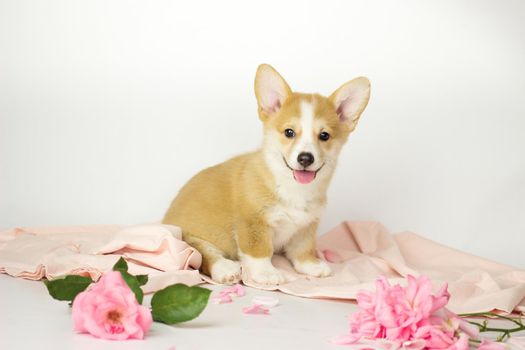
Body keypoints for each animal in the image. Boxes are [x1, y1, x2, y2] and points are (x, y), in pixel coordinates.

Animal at [162, 65, 370, 284]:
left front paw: (310, 265)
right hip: (186, 237)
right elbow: (259, 251)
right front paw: (266, 273)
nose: (305, 158)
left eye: (324, 136)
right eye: (289, 132)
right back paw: (226, 268)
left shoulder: (306, 226)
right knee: (203, 254)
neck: (292, 187)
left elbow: (303, 249)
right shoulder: (252, 224)